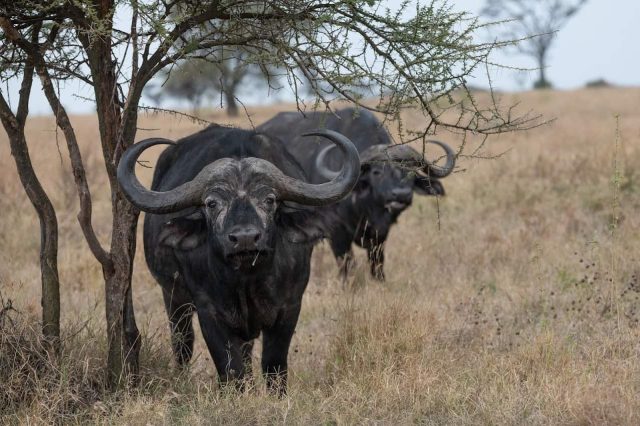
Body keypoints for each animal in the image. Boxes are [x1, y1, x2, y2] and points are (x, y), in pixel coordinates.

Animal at [117, 125, 359, 394]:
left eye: (269, 200)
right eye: (212, 203)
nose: (245, 238)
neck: (246, 280)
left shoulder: (289, 307)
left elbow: (274, 365)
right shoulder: (209, 312)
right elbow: (230, 368)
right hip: (173, 297)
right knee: (183, 343)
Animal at [258, 108, 455, 281]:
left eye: (411, 172)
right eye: (376, 172)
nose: (401, 195)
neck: (365, 208)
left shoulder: (380, 237)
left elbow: (377, 266)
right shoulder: (337, 234)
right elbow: (347, 267)